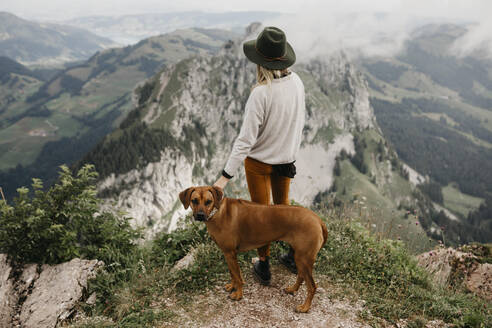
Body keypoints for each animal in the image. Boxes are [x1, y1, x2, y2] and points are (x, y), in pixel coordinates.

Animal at [179, 186, 328, 312]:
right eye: (194, 200)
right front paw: (232, 286)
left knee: (312, 286)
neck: (218, 212)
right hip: (299, 256)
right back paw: (292, 289)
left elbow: (237, 276)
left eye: (208, 201)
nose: (200, 215)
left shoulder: (230, 252)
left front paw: (238, 294)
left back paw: (305, 307)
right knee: (301, 275)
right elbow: (233, 273)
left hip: (304, 258)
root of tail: (318, 220)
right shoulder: (228, 254)